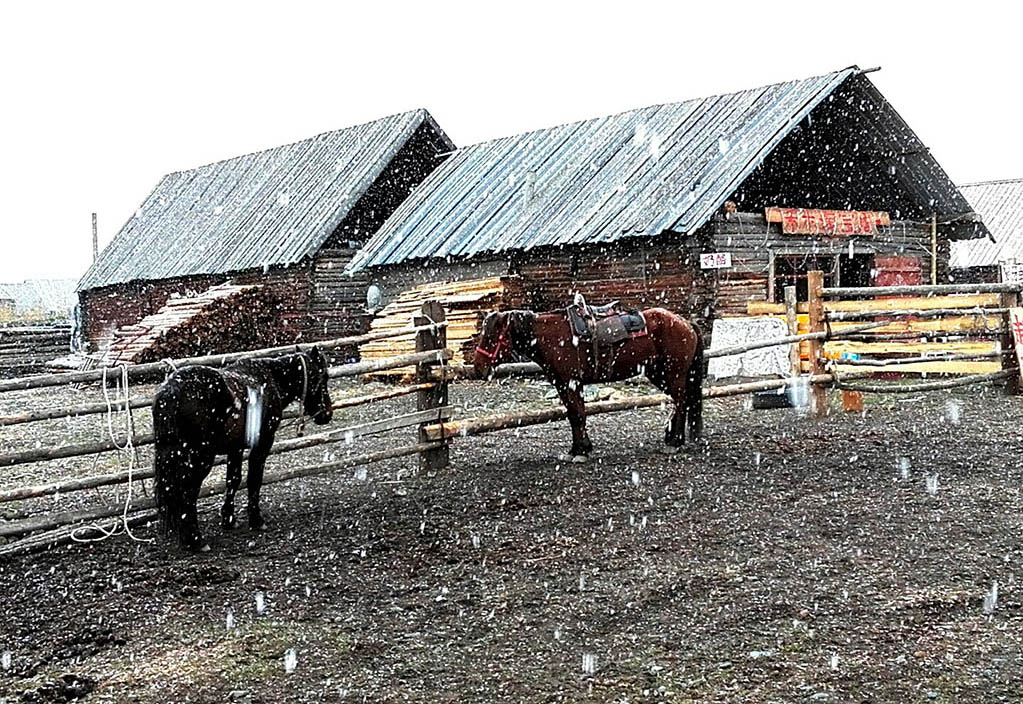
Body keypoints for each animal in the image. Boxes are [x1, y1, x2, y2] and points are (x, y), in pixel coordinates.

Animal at [151, 349, 331, 552]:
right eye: (323, 376)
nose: (327, 414)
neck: (270, 379)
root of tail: (172, 391)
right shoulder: (262, 443)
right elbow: (254, 479)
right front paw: (256, 520)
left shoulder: (235, 448)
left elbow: (233, 480)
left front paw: (228, 519)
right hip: (200, 458)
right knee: (187, 492)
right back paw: (195, 540)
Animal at [472, 304, 703, 458]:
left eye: (490, 337)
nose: (478, 368)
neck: (553, 337)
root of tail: (686, 323)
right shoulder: (564, 385)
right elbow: (575, 414)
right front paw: (579, 448)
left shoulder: (571, 383)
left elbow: (577, 414)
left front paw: (580, 451)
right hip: (659, 374)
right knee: (682, 401)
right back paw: (673, 437)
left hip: (674, 374)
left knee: (681, 401)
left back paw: (675, 441)